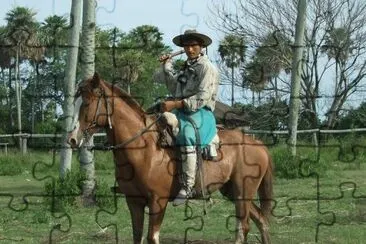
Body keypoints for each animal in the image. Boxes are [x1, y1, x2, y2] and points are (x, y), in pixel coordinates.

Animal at [67, 73, 274, 244]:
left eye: (87, 103)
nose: (72, 139)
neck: (144, 149)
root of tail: (258, 144)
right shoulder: (134, 202)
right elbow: (137, 236)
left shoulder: (158, 201)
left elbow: (152, 237)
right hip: (231, 190)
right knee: (261, 220)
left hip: (242, 192)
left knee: (243, 227)